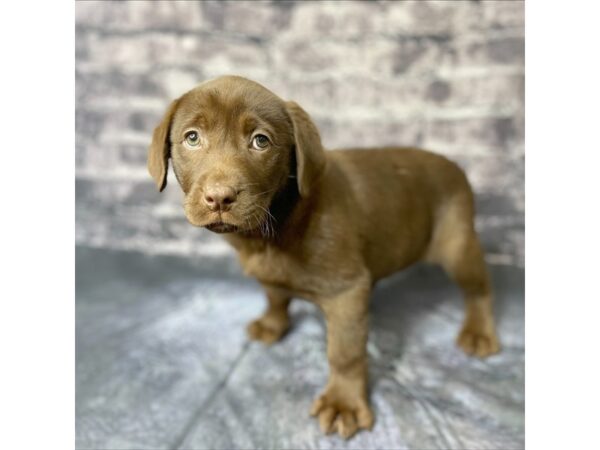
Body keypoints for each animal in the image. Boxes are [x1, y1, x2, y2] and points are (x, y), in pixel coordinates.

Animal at [148, 74, 500, 440]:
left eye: (261, 141)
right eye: (192, 137)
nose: (219, 197)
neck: (274, 226)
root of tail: (454, 164)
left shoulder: (347, 291)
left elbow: (344, 351)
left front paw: (343, 402)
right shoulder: (273, 272)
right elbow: (275, 295)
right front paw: (273, 324)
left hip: (457, 243)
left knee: (479, 286)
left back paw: (479, 332)